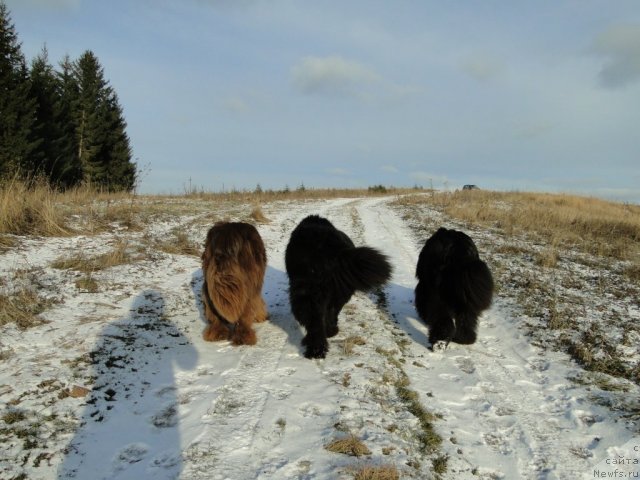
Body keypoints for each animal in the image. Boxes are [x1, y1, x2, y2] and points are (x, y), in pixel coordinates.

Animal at [284, 216, 390, 358]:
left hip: (307, 291)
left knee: (315, 319)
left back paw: (316, 348)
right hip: (335, 291)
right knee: (329, 313)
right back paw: (328, 335)